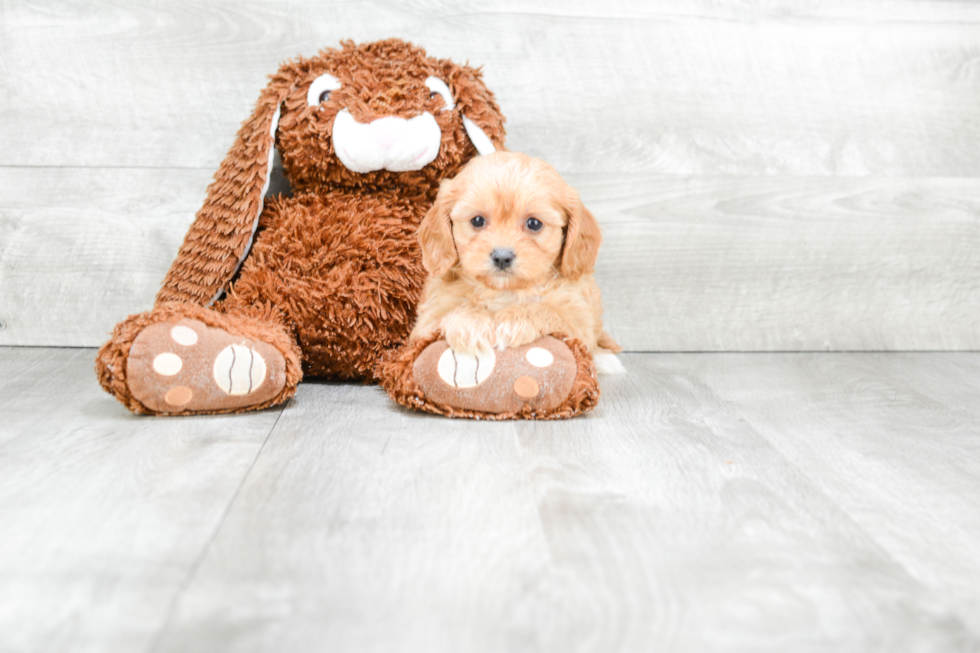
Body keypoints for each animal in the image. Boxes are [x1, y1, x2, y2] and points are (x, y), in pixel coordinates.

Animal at [410, 149, 624, 372]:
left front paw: (513, 321)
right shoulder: (424, 325)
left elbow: (551, 312)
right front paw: (471, 323)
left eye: (534, 223)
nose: (502, 257)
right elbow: (448, 313)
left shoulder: (578, 319)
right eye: (477, 220)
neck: (504, 292)